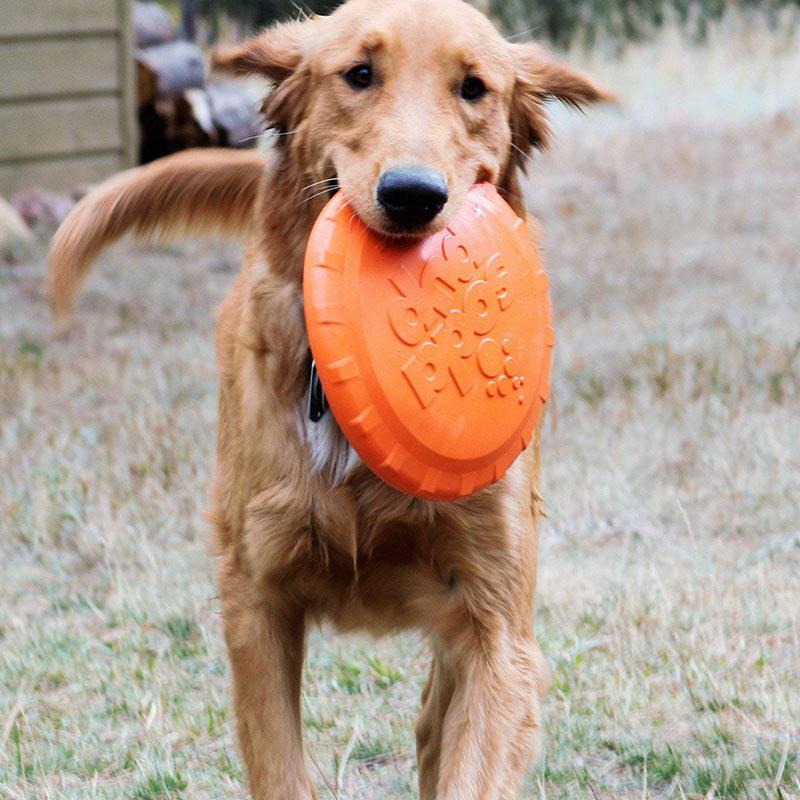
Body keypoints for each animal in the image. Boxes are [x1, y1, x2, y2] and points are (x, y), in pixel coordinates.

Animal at [50, 1, 612, 792]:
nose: (412, 195)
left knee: (434, 726)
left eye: (474, 87)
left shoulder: (498, 626)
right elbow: (280, 766)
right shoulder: (255, 603)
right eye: (359, 74)